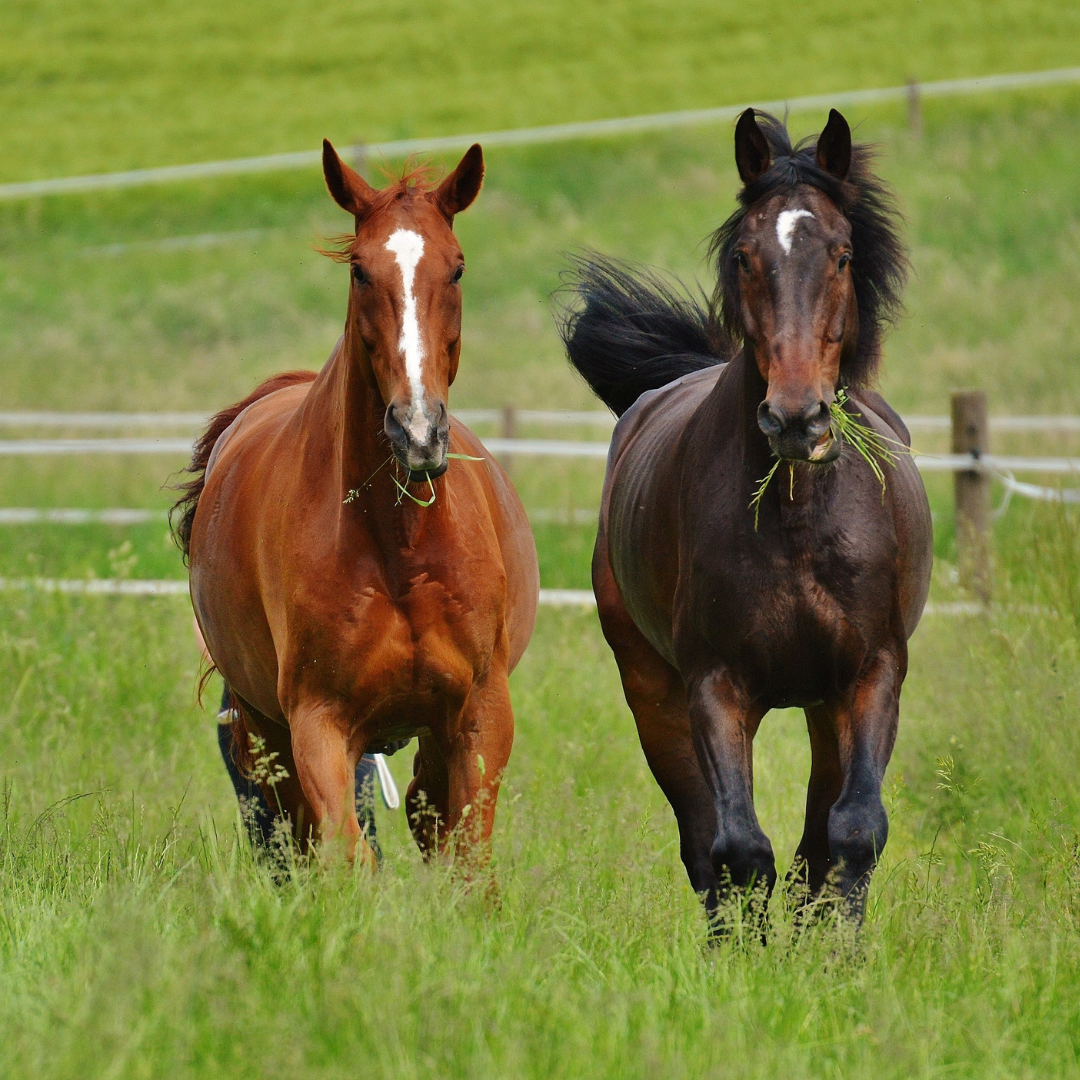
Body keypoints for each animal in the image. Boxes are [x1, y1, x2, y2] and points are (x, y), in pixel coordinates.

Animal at [174, 141, 540, 868]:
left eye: (457, 267)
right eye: (360, 271)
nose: (418, 431)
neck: (400, 545)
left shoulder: (480, 715)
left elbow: (467, 861)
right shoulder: (319, 723)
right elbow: (348, 855)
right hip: (268, 733)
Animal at [561, 109, 933, 924]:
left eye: (842, 253)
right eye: (743, 254)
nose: (795, 418)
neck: (798, 525)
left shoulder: (872, 674)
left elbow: (851, 832)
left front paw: (836, 950)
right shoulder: (715, 686)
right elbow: (736, 851)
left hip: (825, 707)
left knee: (818, 835)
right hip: (653, 693)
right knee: (705, 843)